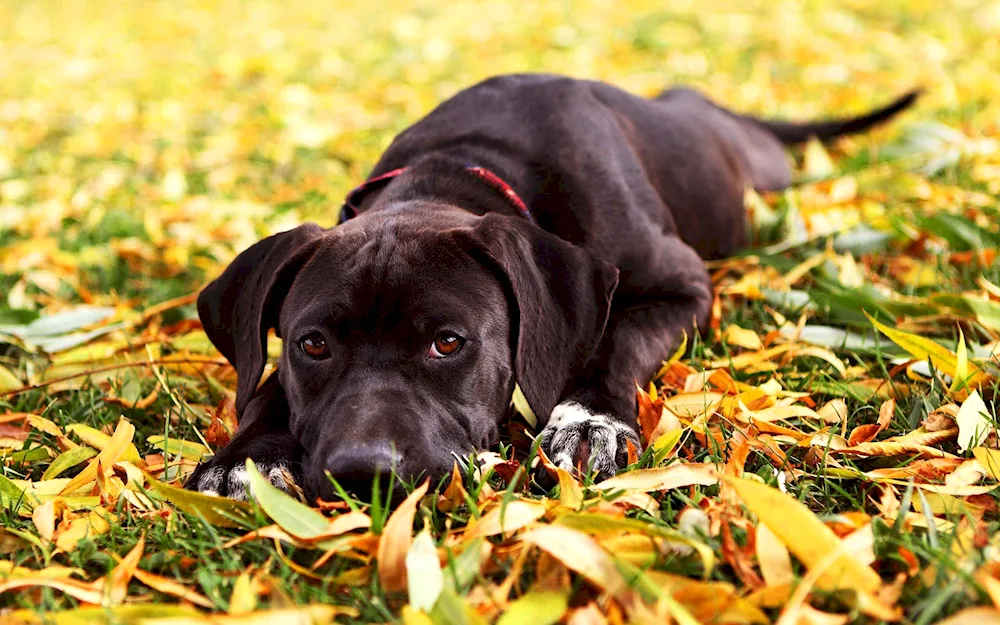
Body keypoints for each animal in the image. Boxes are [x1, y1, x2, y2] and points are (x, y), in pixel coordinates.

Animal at [184, 73, 916, 500]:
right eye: (312, 345)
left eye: (448, 342)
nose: (364, 473)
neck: (462, 165)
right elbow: (266, 389)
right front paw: (243, 458)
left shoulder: (682, 286)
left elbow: (615, 341)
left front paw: (588, 418)